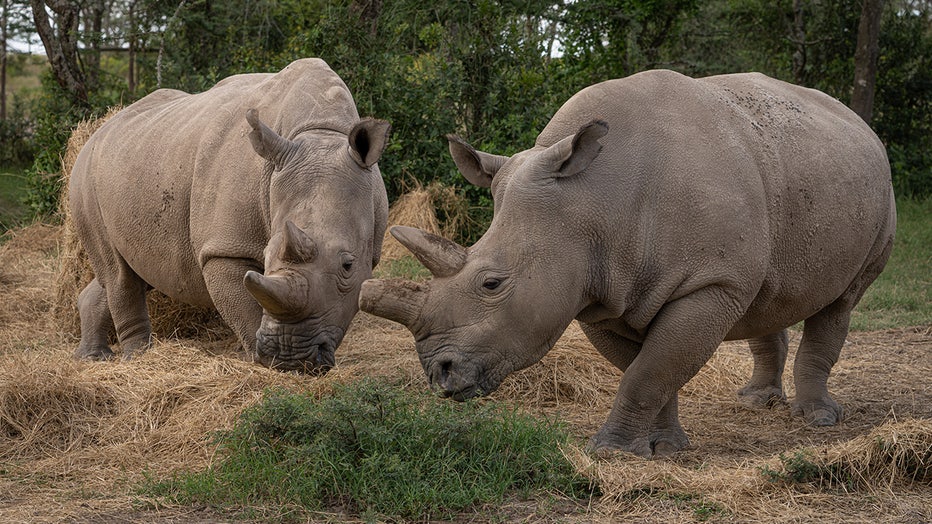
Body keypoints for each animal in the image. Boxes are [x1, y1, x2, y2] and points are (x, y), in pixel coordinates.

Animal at [70, 58, 390, 374]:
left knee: (131, 270)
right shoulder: (223, 249)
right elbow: (245, 310)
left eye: (348, 265)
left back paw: (92, 357)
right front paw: (262, 365)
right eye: (266, 255)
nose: (291, 358)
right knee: (119, 276)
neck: (321, 133)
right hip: (85, 179)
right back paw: (137, 359)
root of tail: (94, 134)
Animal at [359, 70, 896, 457]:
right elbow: (648, 368)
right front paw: (664, 448)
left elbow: (651, 370)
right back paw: (755, 402)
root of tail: (859, 122)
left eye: (491, 283)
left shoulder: (709, 283)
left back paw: (817, 419)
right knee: (767, 293)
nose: (440, 374)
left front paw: (612, 453)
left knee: (843, 300)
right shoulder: (597, 292)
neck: (590, 200)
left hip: (879, 190)